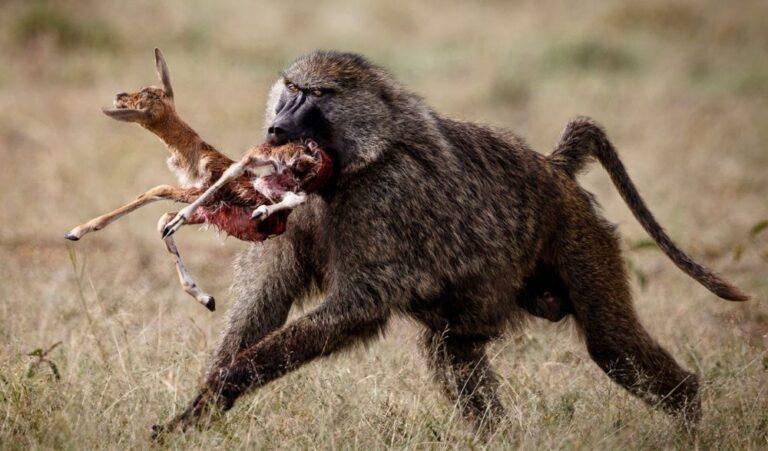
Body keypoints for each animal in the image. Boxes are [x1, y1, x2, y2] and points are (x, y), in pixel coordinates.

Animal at [151, 51, 748, 437]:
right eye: (291, 91)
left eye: (316, 97)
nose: (276, 128)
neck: (348, 170)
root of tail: (553, 171)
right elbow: (264, 302)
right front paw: (199, 408)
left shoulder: (385, 198)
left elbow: (359, 307)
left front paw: (230, 378)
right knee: (451, 349)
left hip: (580, 239)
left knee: (612, 346)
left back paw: (691, 414)